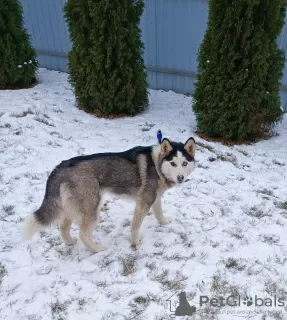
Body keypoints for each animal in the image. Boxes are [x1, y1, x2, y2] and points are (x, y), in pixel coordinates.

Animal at [23, 138, 197, 252]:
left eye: (184, 163)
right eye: (173, 163)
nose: (180, 178)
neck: (157, 165)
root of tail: (61, 166)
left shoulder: (155, 198)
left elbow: (159, 212)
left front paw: (163, 222)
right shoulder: (143, 202)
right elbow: (135, 226)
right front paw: (135, 243)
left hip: (73, 206)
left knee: (63, 226)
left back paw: (70, 242)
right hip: (92, 209)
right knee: (83, 234)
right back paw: (97, 249)